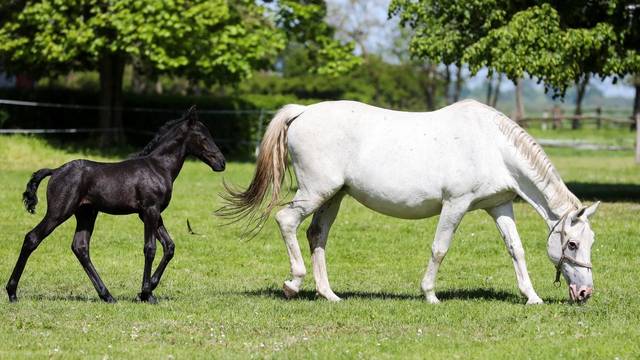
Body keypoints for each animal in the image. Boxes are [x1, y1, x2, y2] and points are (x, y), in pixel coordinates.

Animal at [5, 107, 224, 304]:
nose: (221, 163)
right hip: (59, 212)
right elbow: (150, 248)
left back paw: (107, 295)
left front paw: (147, 291)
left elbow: (169, 247)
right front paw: (146, 293)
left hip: (86, 213)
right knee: (32, 238)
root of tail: (56, 170)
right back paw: (12, 292)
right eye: (203, 137)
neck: (158, 167)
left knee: (80, 247)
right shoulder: (149, 210)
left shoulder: (152, 214)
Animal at [221, 99, 600, 304]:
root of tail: (302, 113)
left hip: (334, 197)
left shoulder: (499, 206)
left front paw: (531, 296)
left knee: (317, 235)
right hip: (316, 192)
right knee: (286, 221)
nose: (585, 293)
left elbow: (515, 249)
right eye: (571, 244)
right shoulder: (456, 205)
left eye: (590, 242)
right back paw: (292, 284)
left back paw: (328, 294)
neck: (492, 145)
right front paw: (430, 294)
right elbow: (440, 248)